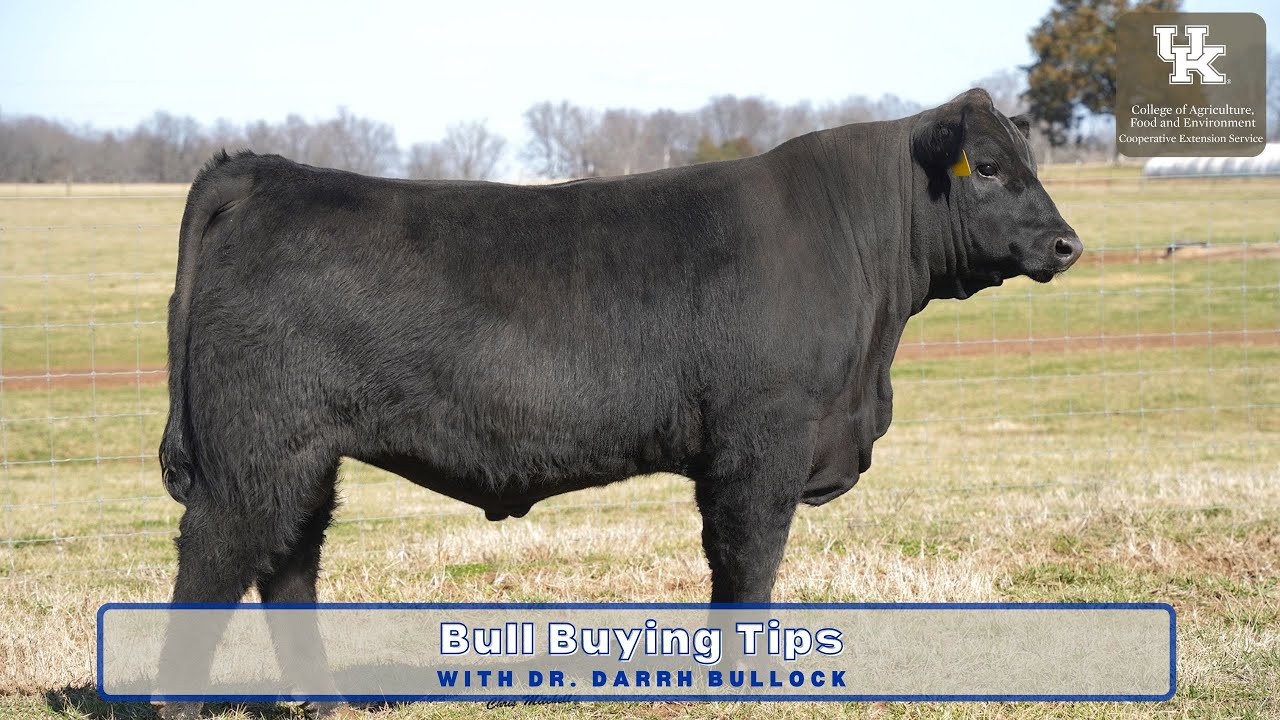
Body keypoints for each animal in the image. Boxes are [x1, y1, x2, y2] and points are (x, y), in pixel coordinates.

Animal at [155, 87, 1080, 715]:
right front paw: (742, 688)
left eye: (1031, 164)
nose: (1068, 243)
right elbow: (747, 563)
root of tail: (268, 172)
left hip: (304, 457)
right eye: (987, 168)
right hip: (254, 451)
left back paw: (327, 702)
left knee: (288, 565)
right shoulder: (761, 443)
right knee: (214, 557)